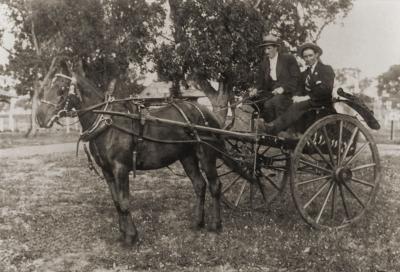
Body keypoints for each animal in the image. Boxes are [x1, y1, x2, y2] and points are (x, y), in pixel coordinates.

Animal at [36, 68, 228, 246]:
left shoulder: (120, 169)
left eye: (61, 89)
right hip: (187, 157)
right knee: (199, 185)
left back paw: (215, 224)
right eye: (46, 88)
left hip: (206, 154)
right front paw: (123, 234)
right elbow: (116, 202)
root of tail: (205, 112)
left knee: (215, 185)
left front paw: (131, 237)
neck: (108, 123)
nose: (40, 118)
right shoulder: (107, 171)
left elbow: (124, 202)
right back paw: (197, 222)